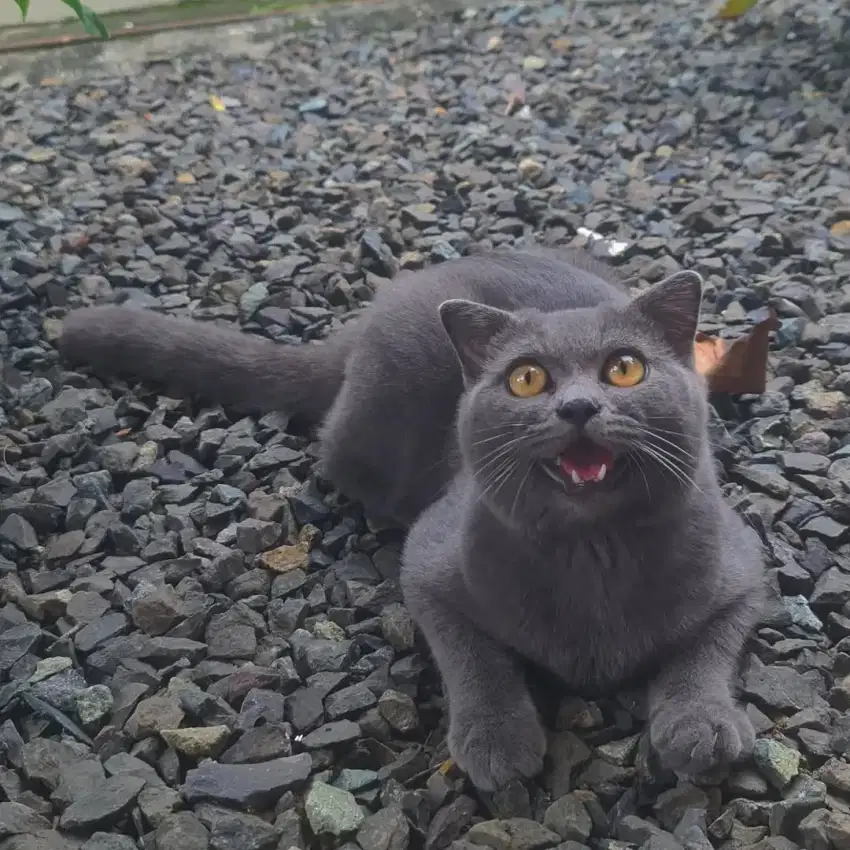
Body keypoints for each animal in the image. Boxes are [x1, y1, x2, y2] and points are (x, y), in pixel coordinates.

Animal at [59, 247, 760, 788]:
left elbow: (706, 647)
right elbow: (473, 656)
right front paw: (497, 738)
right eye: (527, 379)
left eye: (625, 368)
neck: (594, 557)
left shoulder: (744, 569)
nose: (579, 406)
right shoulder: (430, 567)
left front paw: (699, 724)